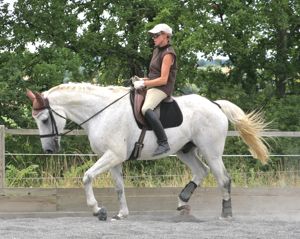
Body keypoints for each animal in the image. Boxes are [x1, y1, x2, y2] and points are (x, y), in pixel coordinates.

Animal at [26, 82, 270, 220]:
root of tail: (215, 104)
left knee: (223, 179)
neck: (101, 112)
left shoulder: (112, 155)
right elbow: (119, 187)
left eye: (45, 119)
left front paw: (97, 210)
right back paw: (182, 201)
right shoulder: (113, 159)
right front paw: (121, 214)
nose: (49, 149)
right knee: (201, 171)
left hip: (211, 151)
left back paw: (226, 213)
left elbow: (87, 177)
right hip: (185, 150)